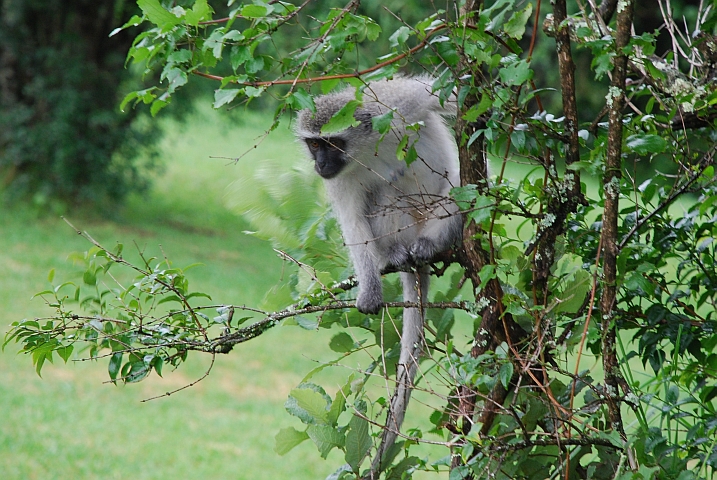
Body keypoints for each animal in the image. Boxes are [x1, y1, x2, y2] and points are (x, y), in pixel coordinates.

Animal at [294, 77, 462, 474]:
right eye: (313, 144)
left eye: (331, 143)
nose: (320, 164)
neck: (365, 149)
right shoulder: (340, 180)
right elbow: (354, 222)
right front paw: (370, 289)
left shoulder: (400, 103)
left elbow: (441, 98)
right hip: (400, 226)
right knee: (384, 197)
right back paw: (398, 255)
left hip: (435, 211)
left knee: (459, 191)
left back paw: (433, 243)